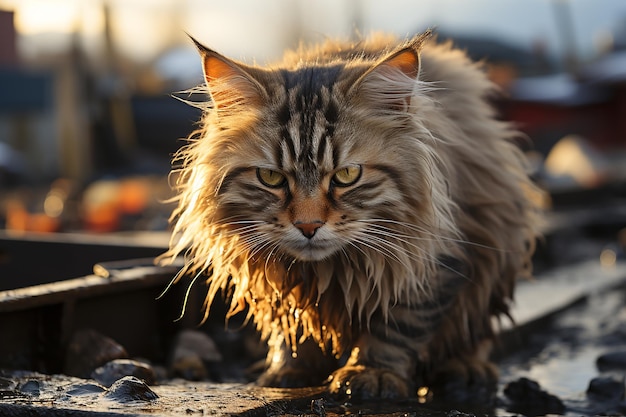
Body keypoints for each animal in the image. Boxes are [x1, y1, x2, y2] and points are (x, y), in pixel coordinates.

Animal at [158, 30, 540, 400]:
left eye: (346, 175)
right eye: (271, 178)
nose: (308, 226)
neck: (326, 272)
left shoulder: (433, 262)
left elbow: (398, 325)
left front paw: (372, 373)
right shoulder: (281, 283)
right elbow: (292, 327)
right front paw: (289, 370)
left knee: (473, 336)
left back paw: (465, 372)